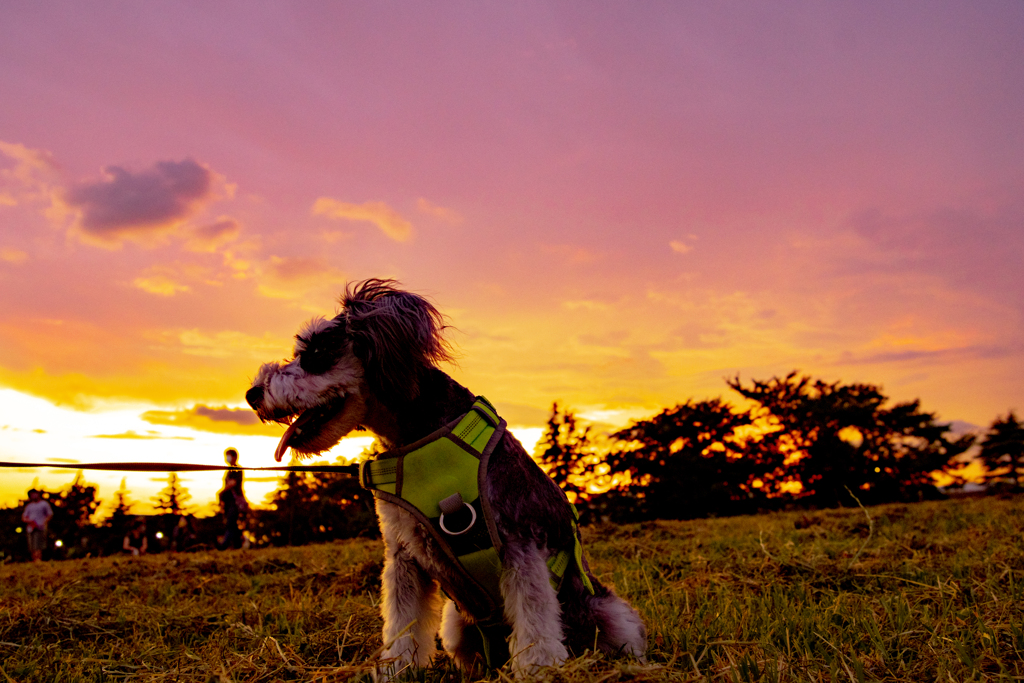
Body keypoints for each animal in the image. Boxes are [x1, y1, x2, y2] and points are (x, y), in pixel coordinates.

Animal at [244, 278, 643, 679]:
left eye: (315, 352)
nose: (252, 394)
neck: (416, 440)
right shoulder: (403, 555)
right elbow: (402, 623)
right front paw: (395, 669)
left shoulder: (519, 543)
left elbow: (534, 616)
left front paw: (538, 668)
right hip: (457, 623)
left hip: (604, 610)